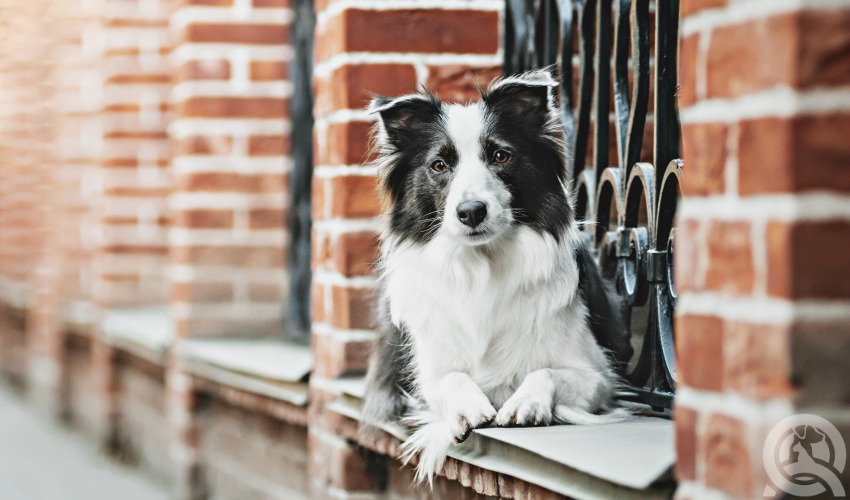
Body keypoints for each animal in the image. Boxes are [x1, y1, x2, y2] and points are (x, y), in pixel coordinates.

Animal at [358, 70, 628, 484]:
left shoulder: (600, 378)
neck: (482, 265)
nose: (471, 211)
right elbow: (450, 378)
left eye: (501, 155)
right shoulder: (424, 378)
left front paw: (526, 402)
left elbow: (547, 372)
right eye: (439, 165)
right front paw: (469, 405)